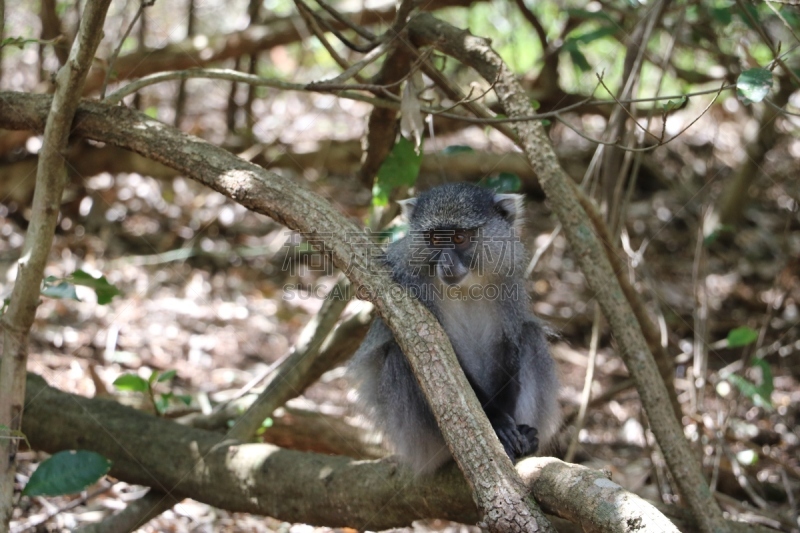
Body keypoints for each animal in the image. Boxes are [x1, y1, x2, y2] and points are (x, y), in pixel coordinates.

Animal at [350, 181, 564, 472]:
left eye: (460, 238)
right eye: (435, 239)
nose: (447, 263)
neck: (467, 286)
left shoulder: (509, 284)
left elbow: (510, 341)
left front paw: (508, 423)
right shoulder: (412, 284)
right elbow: (440, 360)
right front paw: (497, 423)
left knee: (530, 335)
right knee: (403, 354)